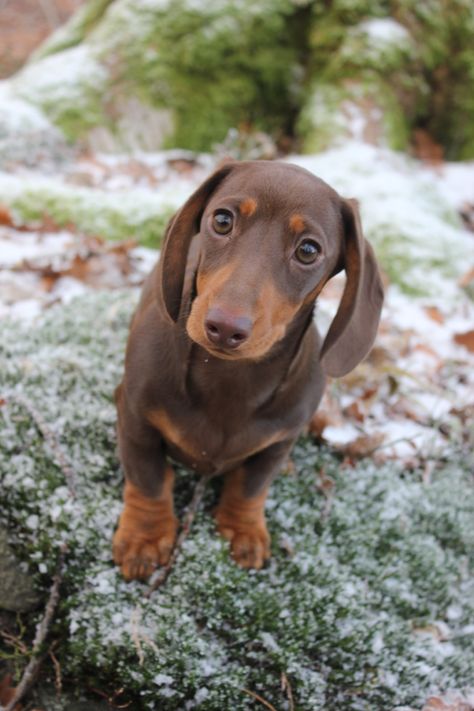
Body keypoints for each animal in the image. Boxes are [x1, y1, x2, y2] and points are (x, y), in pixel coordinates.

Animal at [113, 161, 384, 580]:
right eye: (222, 220)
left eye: (308, 250)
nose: (224, 328)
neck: (229, 378)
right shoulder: (137, 421)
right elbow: (148, 479)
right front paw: (145, 537)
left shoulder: (279, 441)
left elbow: (251, 486)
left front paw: (243, 529)